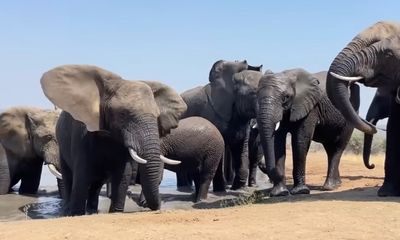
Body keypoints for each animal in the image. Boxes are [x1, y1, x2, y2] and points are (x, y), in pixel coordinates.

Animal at [39, 64, 187, 217]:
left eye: (157, 116)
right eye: (123, 114)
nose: (157, 207)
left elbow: (123, 175)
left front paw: (115, 212)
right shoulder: (81, 134)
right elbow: (81, 175)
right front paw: (76, 214)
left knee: (96, 184)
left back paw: (92, 211)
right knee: (69, 177)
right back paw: (67, 211)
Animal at [180, 59, 262, 189]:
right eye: (254, 93)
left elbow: (241, 148)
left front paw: (237, 188)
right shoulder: (212, 115)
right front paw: (221, 190)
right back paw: (185, 187)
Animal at [233, 68, 358, 196]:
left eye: (285, 97)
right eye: (256, 96)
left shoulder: (310, 107)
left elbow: (300, 140)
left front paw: (300, 191)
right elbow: (278, 142)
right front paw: (280, 193)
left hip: (351, 113)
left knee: (337, 148)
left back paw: (329, 187)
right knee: (329, 148)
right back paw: (337, 183)